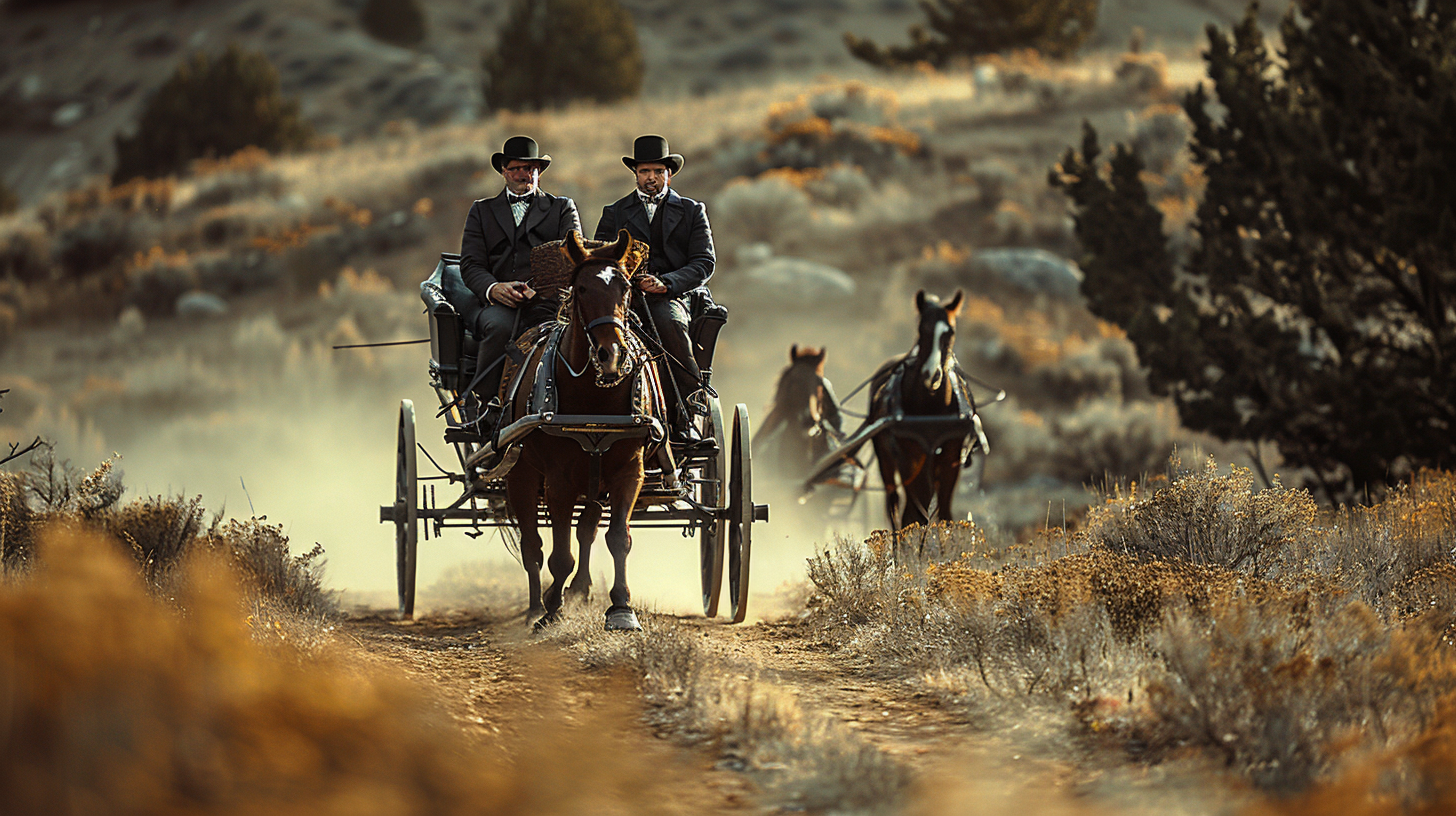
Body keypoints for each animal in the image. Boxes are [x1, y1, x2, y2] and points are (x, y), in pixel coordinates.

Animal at [506, 230, 655, 632]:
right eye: (582, 289)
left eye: (626, 287)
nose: (612, 354)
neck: (595, 398)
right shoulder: (558, 480)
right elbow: (559, 554)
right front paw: (551, 607)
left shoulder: (628, 471)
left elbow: (618, 538)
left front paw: (621, 607)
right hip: (522, 474)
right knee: (532, 545)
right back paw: (534, 606)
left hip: (593, 479)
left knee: (586, 529)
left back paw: (580, 589)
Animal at [867, 289, 972, 533]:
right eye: (922, 329)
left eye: (950, 332)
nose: (931, 375)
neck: (931, 408)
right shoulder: (909, 456)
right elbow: (913, 512)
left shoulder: (951, 456)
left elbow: (944, 512)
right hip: (886, 460)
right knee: (895, 505)